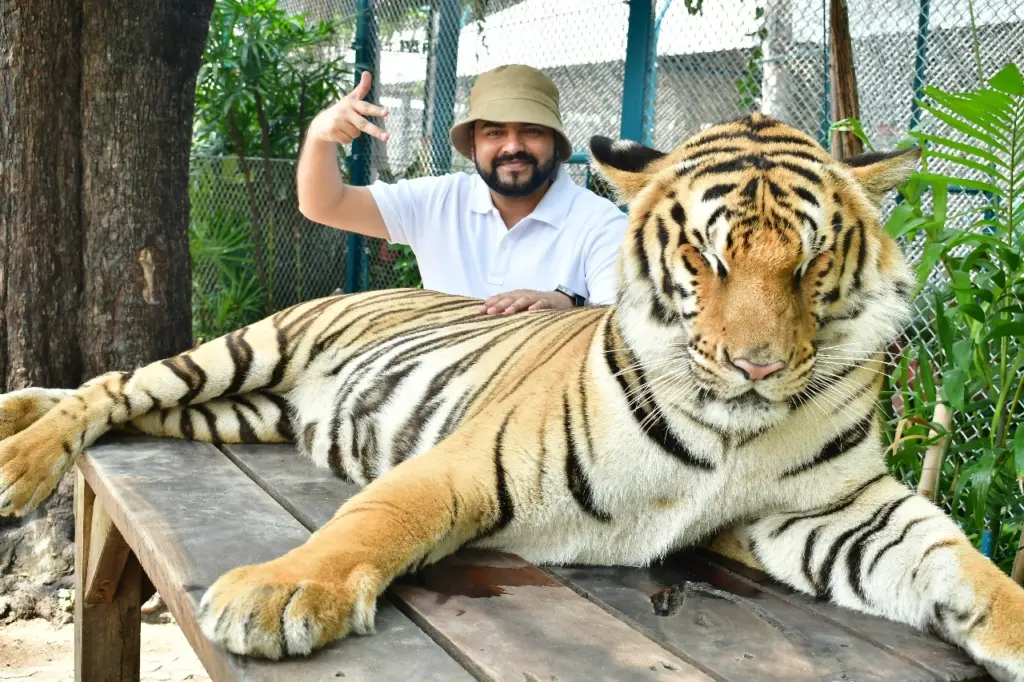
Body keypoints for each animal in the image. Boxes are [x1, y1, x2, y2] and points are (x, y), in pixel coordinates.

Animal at [0, 114, 1021, 680]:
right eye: (707, 256)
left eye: (808, 262)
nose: (758, 367)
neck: (732, 430)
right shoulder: (465, 461)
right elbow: (376, 517)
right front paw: (279, 593)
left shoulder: (835, 510)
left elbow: (962, 564)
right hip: (247, 351)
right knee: (113, 384)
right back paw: (19, 457)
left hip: (243, 412)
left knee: (124, 396)